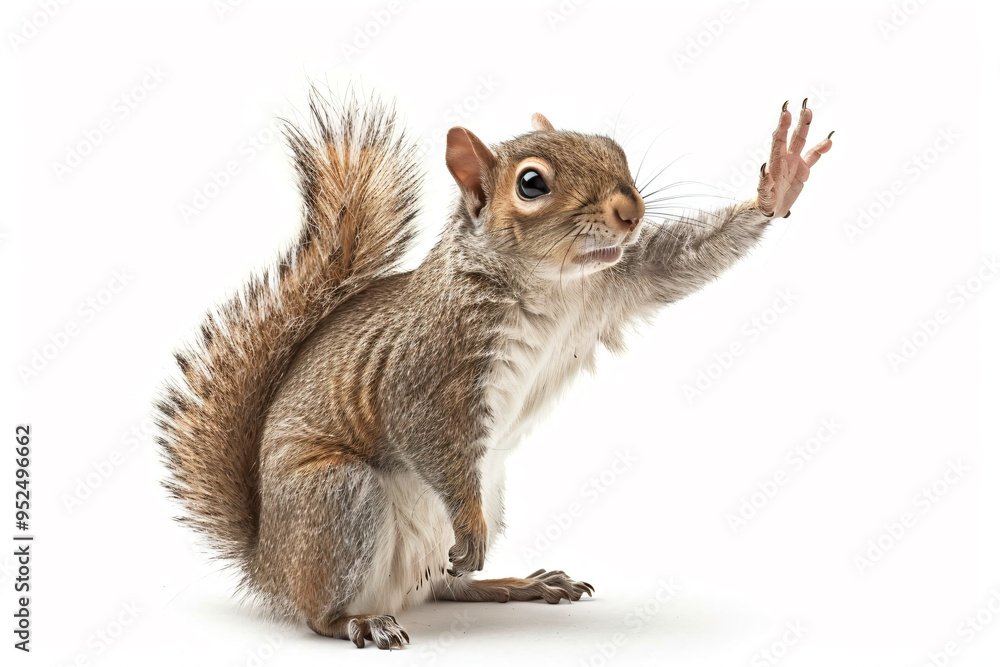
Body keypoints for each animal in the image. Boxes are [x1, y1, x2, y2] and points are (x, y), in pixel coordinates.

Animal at [156, 92, 832, 649]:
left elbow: (680, 262)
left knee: (445, 585)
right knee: (323, 612)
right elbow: (425, 430)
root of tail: (268, 563)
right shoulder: (427, 366)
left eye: (613, 148)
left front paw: (779, 186)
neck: (550, 284)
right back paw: (361, 620)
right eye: (531, 183)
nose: (629, 211)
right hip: (338, 497)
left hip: (488, 491)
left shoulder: (617, 283)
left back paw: (517, 584)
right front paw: (471, 529)